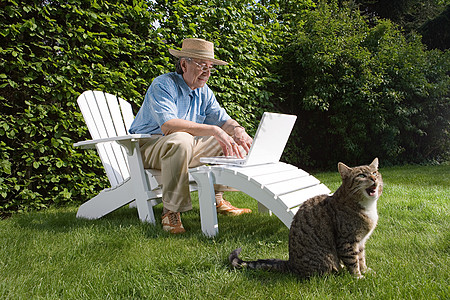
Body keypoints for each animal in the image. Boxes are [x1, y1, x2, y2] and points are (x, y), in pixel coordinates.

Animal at [232, 158, 384, 278]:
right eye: (362, 175)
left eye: (374, 173)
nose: (374, 178)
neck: (367, 207)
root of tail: (290, 263)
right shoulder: (347, 241)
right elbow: (353, 261)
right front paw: (358, 277)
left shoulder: (361, 242)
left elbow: (361, 258)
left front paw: (366, 271)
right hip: (326, 260)